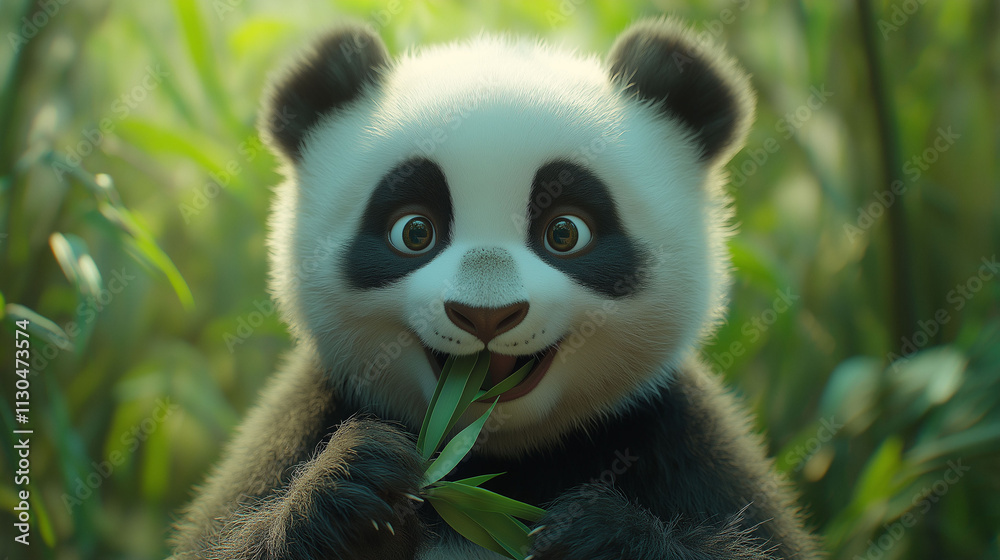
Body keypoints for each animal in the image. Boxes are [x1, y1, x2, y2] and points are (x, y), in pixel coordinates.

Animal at [170, 17, 819, 560]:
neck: (489, 458)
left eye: (565, 231)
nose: (486, 315)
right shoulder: (297, 425)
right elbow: (225, 537)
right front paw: (354, 491)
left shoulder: (680, 438)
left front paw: (593, 535)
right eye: (414, 231)